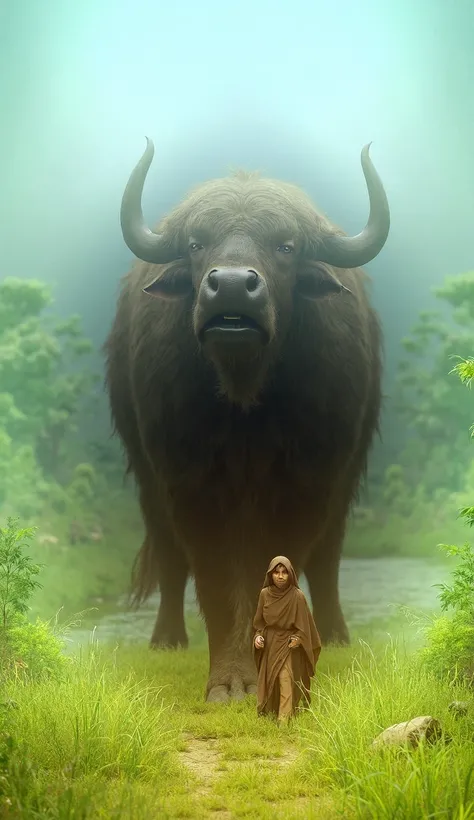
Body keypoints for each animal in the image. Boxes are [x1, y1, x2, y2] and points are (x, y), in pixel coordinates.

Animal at [105, 138, 390, 700]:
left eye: (286, 246)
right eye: (197, 243)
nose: (234, 287)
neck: (244, 400)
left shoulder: (310, 481)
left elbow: (286, 561)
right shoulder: (187, 482)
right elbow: (213, 575)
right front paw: (228, 680)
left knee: (328, 556)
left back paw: (338, 634)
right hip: (147, 475)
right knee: (169, 556)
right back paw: (166, 638)